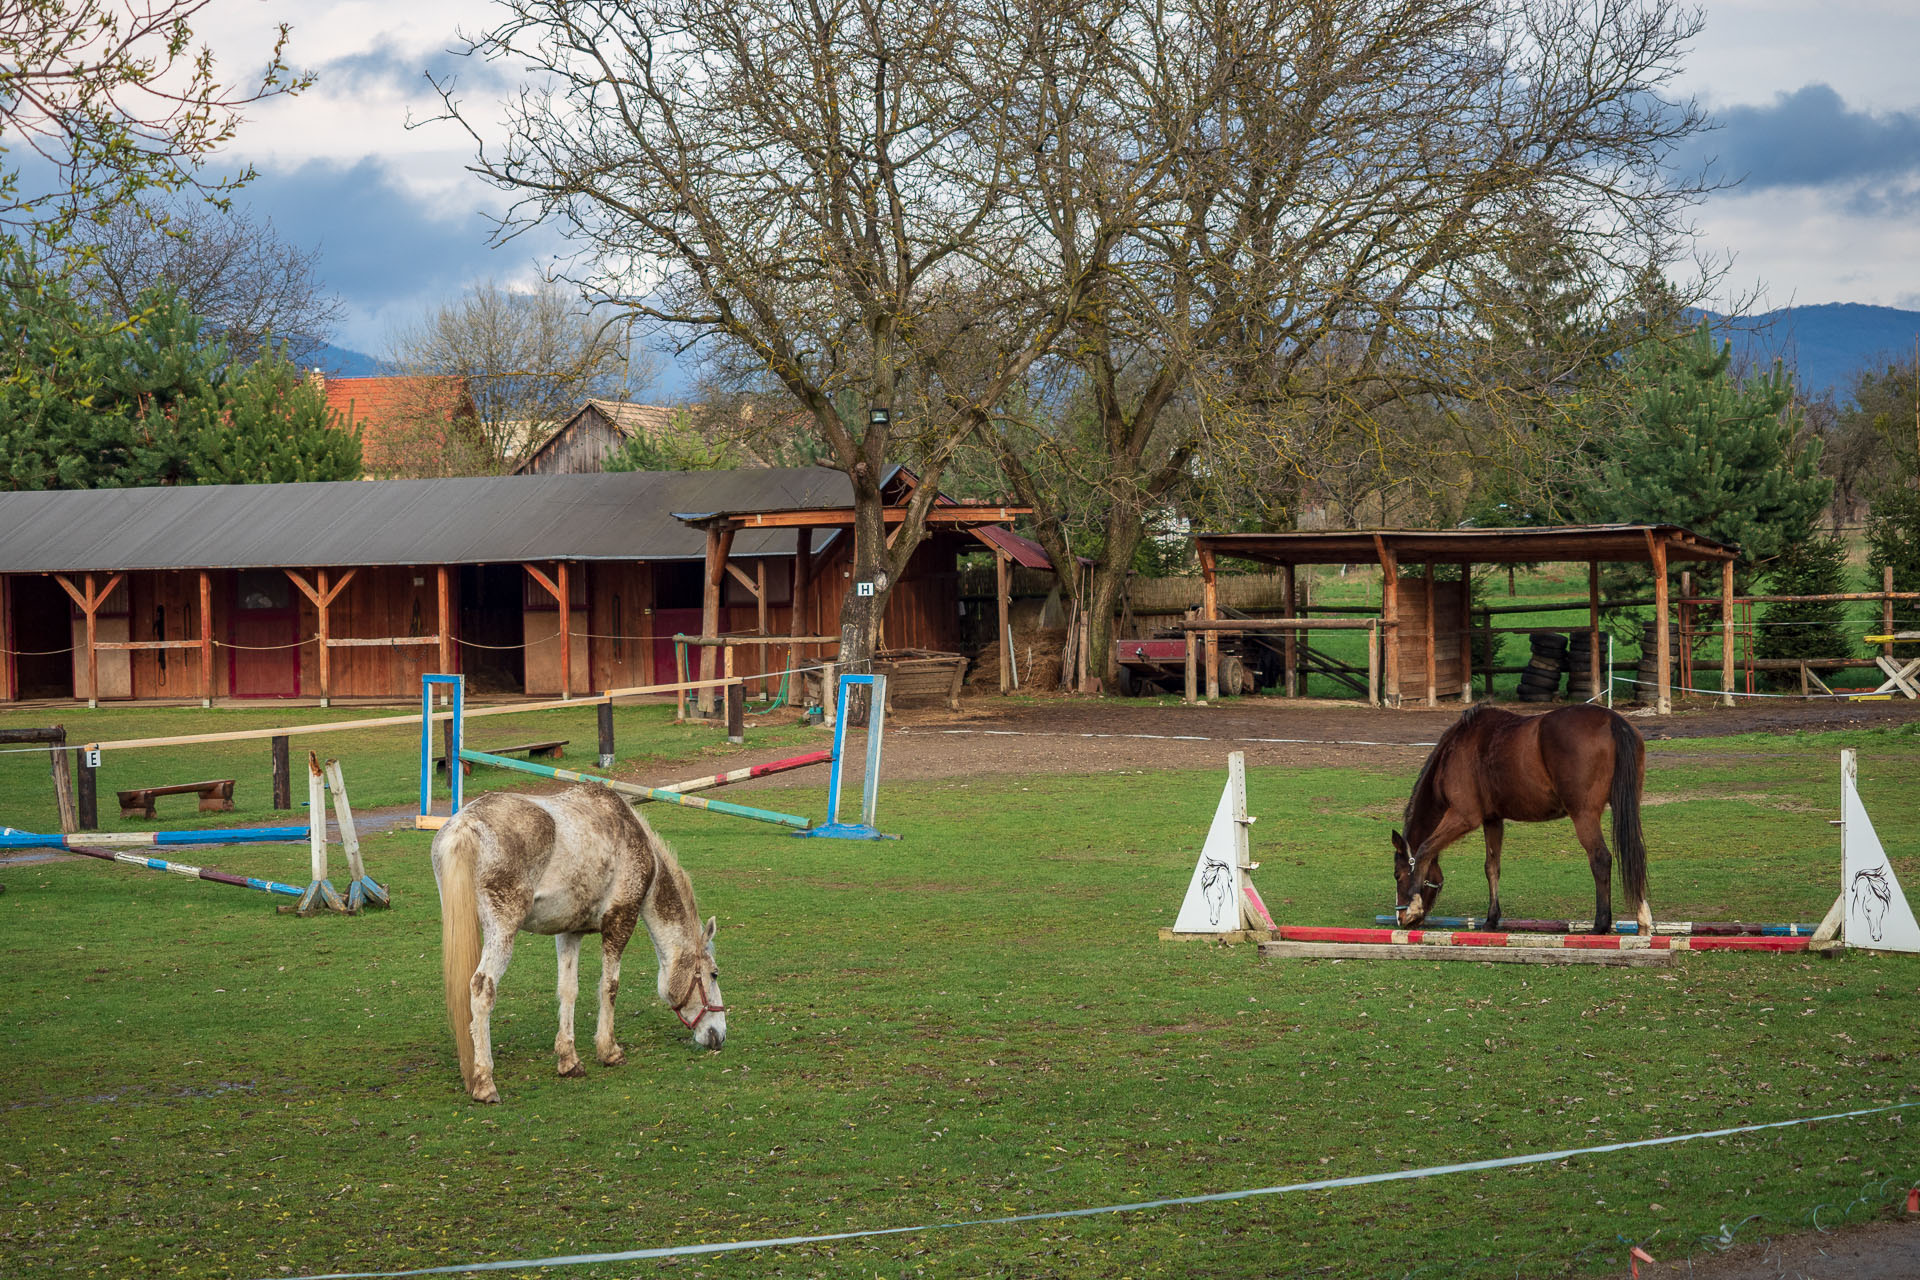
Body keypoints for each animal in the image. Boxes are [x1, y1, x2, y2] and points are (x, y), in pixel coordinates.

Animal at [432, 782, 721, 1105]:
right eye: (713, 974)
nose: (719, 1036)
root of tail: (466, 825)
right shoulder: (620, 922)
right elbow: (609, 986)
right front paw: (609, 1051)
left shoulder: (569, 932)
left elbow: (568, 990)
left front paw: (569, 1060)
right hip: (502, 932)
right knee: (482, 990)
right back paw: (484, 1082)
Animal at [1397, 706, 1651, 936]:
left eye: (1397, 875)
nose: (1400, 918)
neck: (1457, 748)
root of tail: (1612, 720)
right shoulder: (1492, 820)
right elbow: (1491, 867)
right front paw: (1491, 919)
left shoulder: (1463, 816)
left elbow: (1424, 850)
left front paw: (1414, 906)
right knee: (1635, 853)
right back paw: (1643, 919)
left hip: (1584, 814)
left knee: (1600, 859)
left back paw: (1601, 924)